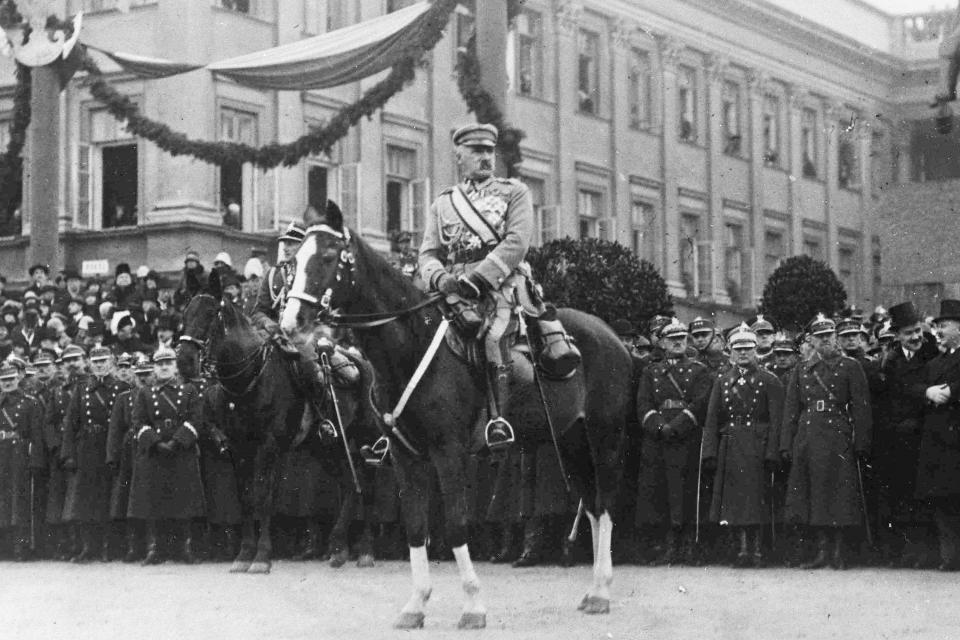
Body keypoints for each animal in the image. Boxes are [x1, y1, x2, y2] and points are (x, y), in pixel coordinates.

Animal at [177, 288, 378, 572]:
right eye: (185, 314)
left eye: (210, 314)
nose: (184, 360)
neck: (250, 379)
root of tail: (359, 360)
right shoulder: (238, 449)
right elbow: (246, 498)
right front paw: (244, 554)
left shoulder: (268, 448)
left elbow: (263, 498)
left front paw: (261, 557)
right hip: (326, 448)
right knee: (350, 484)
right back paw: (339, 548)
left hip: (364, 437)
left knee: (368, 485)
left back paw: (366, 550)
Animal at [282, 206, 632, 632]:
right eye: (295, 260)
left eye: (329, 258)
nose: (290, 322)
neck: (410, 347)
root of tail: (612, 337)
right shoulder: (405, 456)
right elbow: (417, 527)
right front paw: (415, 605)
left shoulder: (449, 453)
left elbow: (454, 525)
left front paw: (473, 606)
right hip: (570, 441)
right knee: (594, 506)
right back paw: (594, 591)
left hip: (605, 439)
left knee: (607, 504)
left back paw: (603, 591)